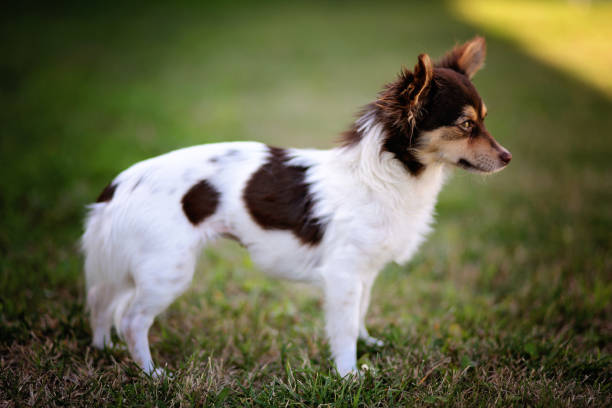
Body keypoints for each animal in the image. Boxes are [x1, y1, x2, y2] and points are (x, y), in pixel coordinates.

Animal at [81, 36, 512, 378]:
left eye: (484, 121)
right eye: (466, 125)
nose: (508, 157)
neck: (389, 175)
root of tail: (119, 185)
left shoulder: (364, 274)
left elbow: (360, 315)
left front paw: (369, 346)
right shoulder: (342, 275)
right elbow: (342, 330)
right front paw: (349, 375)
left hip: (134, 263)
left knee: (103, 303)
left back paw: (105, 350)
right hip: (168, 269)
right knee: (131, 319)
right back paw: (152, 374)